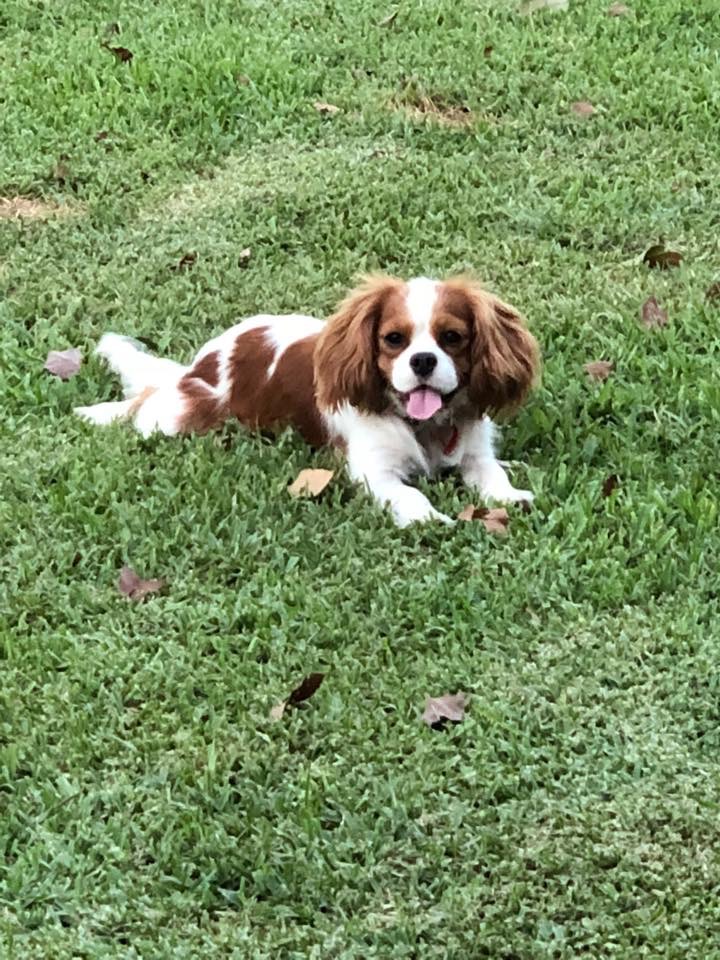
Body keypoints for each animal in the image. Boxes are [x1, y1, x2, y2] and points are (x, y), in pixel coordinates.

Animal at [76, 274, 536, 524]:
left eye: (452, 337)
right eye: (394, 339)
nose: (423, 360)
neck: (424, 427)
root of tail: (197, 365)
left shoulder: (474, 453)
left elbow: (490, 474)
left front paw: (510, 494)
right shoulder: (375, 473)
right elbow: (410, 494)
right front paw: (427, 518)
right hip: (180, 415)